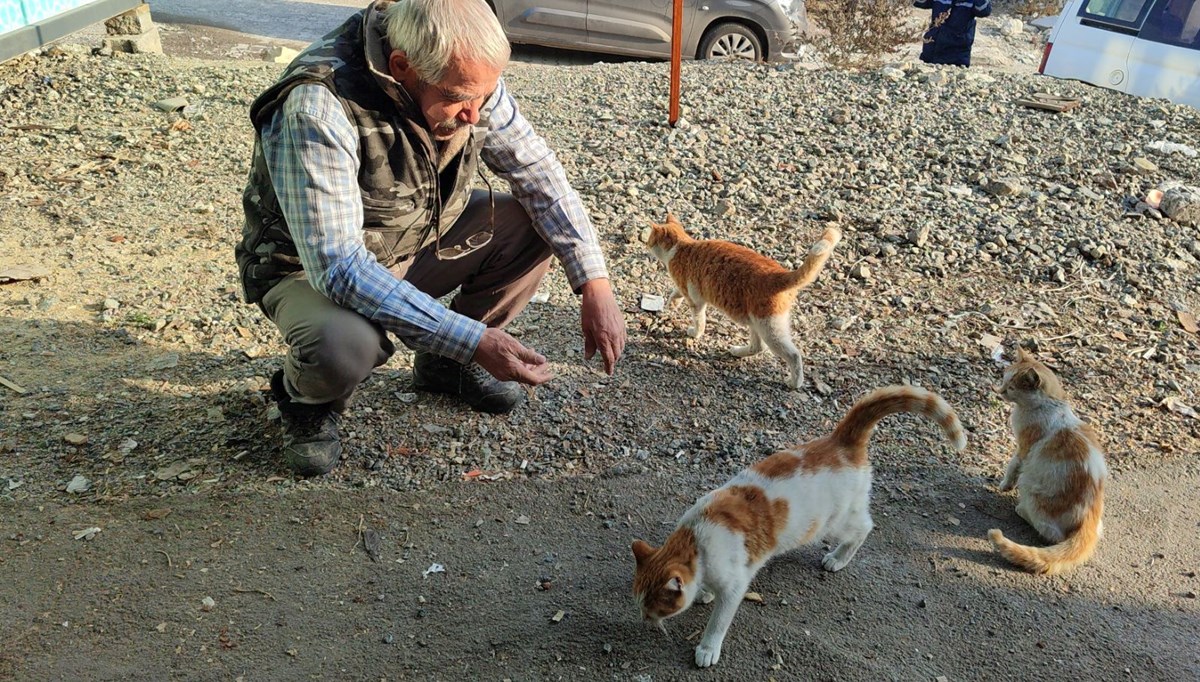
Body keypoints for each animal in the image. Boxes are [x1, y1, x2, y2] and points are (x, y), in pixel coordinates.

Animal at [628, 386, 964, 667]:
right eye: (641, 605)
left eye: (653, 609)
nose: (644, 619)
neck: (695, 541)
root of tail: (841, 441)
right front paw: (705, 594)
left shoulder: (736, 585)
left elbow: (718, 622)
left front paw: (708, 648)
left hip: (834, 523)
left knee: (865, 527)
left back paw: (838, 558)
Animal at [643, 216, 840, 391]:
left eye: (650, 239)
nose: (645, 244)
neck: (681, 246)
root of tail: (779, 274)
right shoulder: (684, 289)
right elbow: (675, 293)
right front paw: (672, 304)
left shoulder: (696, 300)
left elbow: (699, 321)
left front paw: (694, 333)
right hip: (755, 323)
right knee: (757, 347)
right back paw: (737, 352)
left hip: (769, 328)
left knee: (793, 354)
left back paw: (794, 383)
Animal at [984, 345, 1104, 576]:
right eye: (1004, 379)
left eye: (1011, 387)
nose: (999, 390)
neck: (1050, 404)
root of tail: (1089, 518)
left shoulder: (1024, 449)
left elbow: (1012, 466)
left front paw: (1004, 485)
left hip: (1030, 486)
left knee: (1051, 533)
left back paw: (1022, 510)